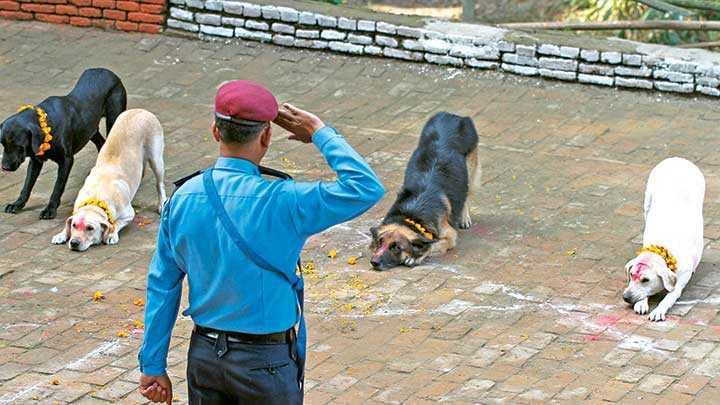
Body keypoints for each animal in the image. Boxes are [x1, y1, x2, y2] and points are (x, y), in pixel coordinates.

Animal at [0, 67, 126, 218]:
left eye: (19, 146)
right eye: (3, 144)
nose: (5, 167)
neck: (48, 122)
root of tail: (109, 72)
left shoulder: (66, 160)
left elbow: (57, 187)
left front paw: (50, 209)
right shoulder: (36, 161)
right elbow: (27, 185)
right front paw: (17, 204)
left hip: (114, 120)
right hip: (90, 129)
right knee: (101, 143)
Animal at [51, 109, 166, 251]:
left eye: (90, 228)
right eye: (74, 226)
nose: (74, 243)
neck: (97, 197)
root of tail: (141, 110)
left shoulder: (129, 214)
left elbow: (115, 223)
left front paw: (111, 234)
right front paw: (61, 234)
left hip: (156, 160)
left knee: (159, 183)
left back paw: (162, 203)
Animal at [620, 156, 704, 320]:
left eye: (646, 280)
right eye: (631, 275)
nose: (625, 297)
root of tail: (678, 158)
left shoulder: (678, 284)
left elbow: (669, 297)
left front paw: (658, 310)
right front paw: (641, 303)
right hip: (647, 200)